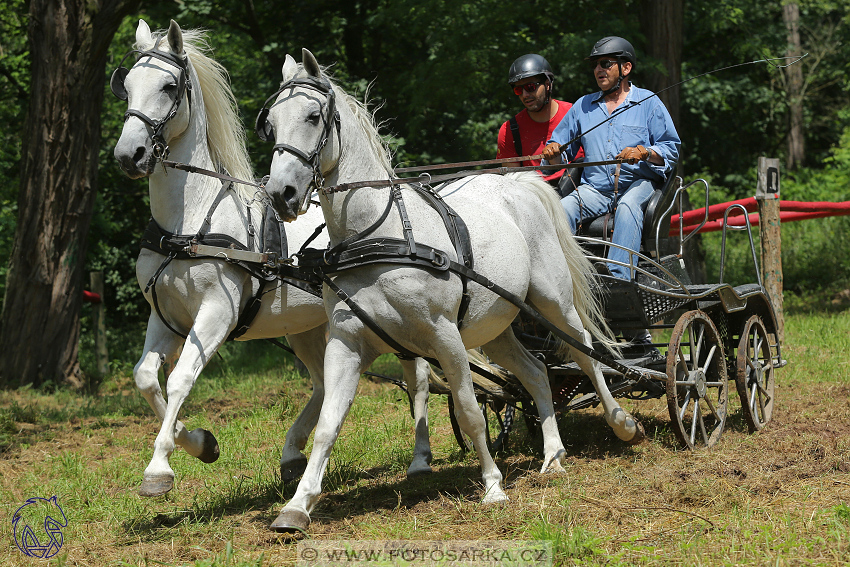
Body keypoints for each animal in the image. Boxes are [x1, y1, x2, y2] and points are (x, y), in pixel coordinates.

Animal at [112, 20, 430, 496]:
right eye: (127, 86)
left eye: (169, 87)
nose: (128, 154)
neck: (188, 221)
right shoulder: (165, 316)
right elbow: (148, 378)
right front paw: (201, 443)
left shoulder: (216, 313)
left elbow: (181, 377)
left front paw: (159, 468)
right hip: (306, 325)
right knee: (322, 384)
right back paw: (293, 454)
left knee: (418, 374)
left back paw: (419, 460)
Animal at [258, 48, 644, 532]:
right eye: (271, 123)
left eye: (313, 116)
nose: (282, 194)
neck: (378, 234)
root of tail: (519, 185)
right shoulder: (346, 342)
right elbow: (328, 423)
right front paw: (297, 505)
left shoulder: (444, 336)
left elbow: (469, 411)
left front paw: (493, 486)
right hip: (497, 328)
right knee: (537, 372)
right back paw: (553, 455)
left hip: (553, 303)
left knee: (586, 355)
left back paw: (622, 423)